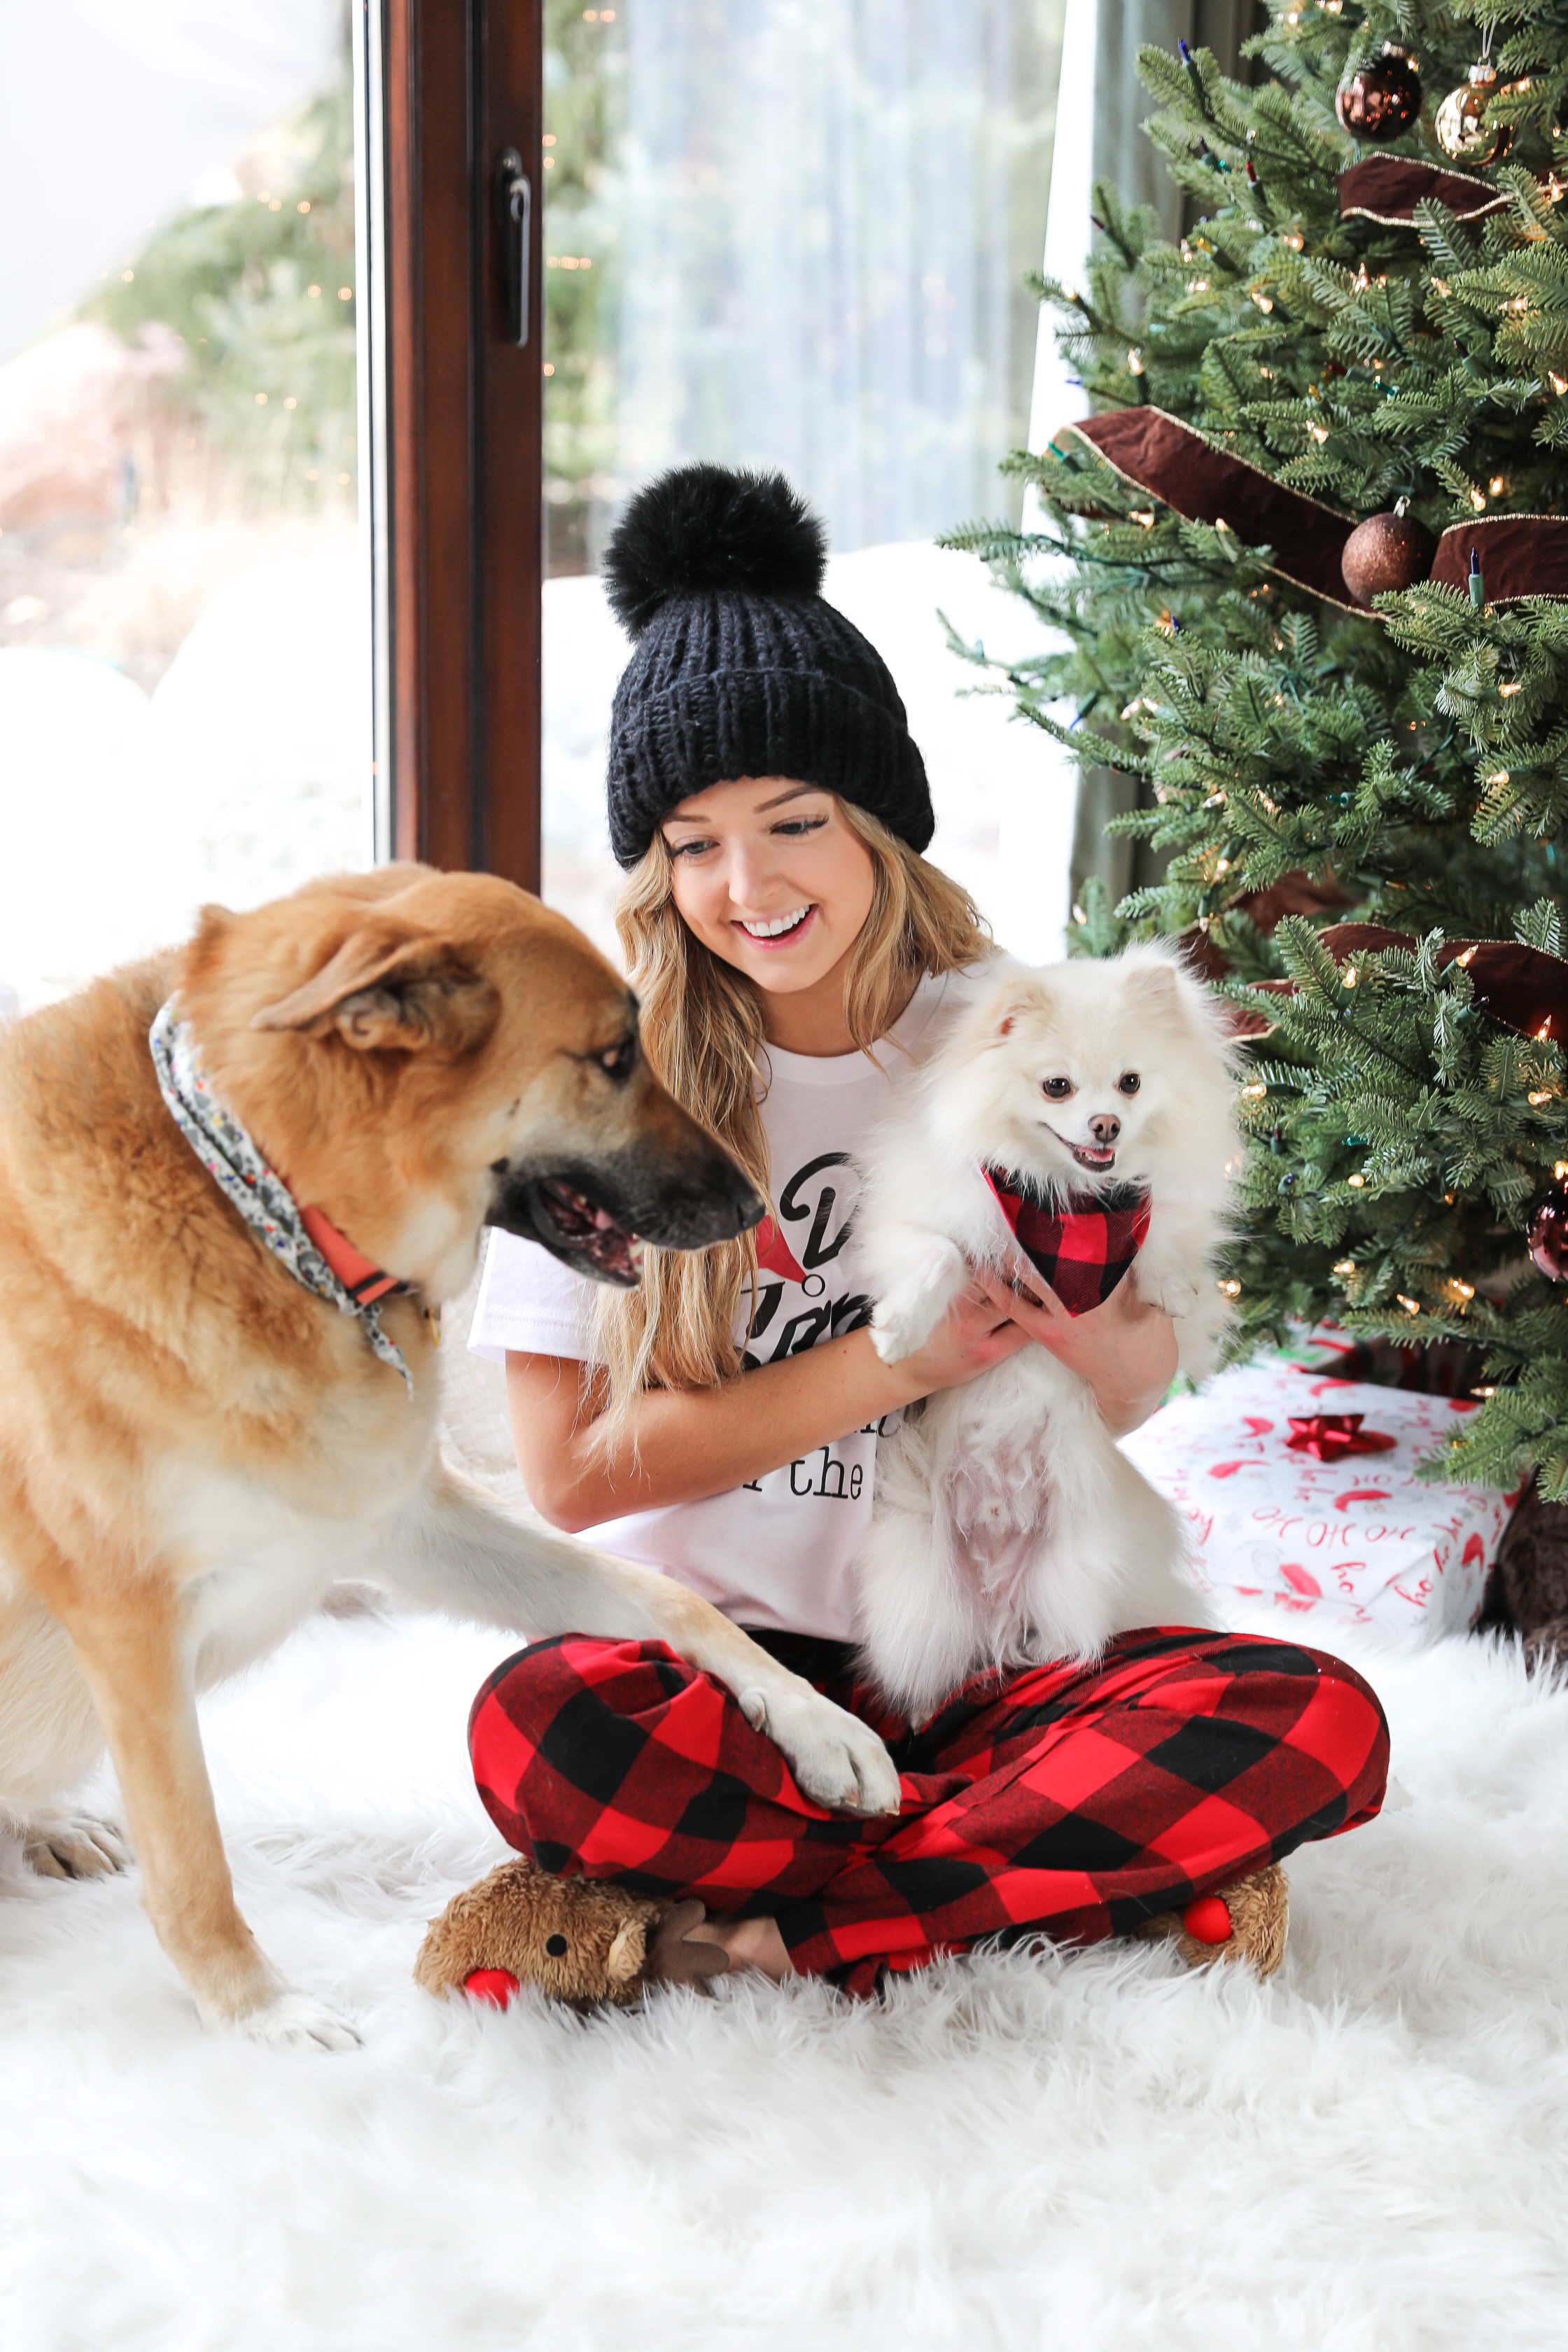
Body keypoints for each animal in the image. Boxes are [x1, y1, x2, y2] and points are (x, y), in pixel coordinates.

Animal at [0, 865, 902, 2041]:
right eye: (613, 1057)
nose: (761, 1208)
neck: (268, 1206)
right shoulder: (130, 1621)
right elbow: (190, 1853)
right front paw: (262, 2013)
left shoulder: (405, 1519)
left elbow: (664, 1597)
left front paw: (818, 1723)